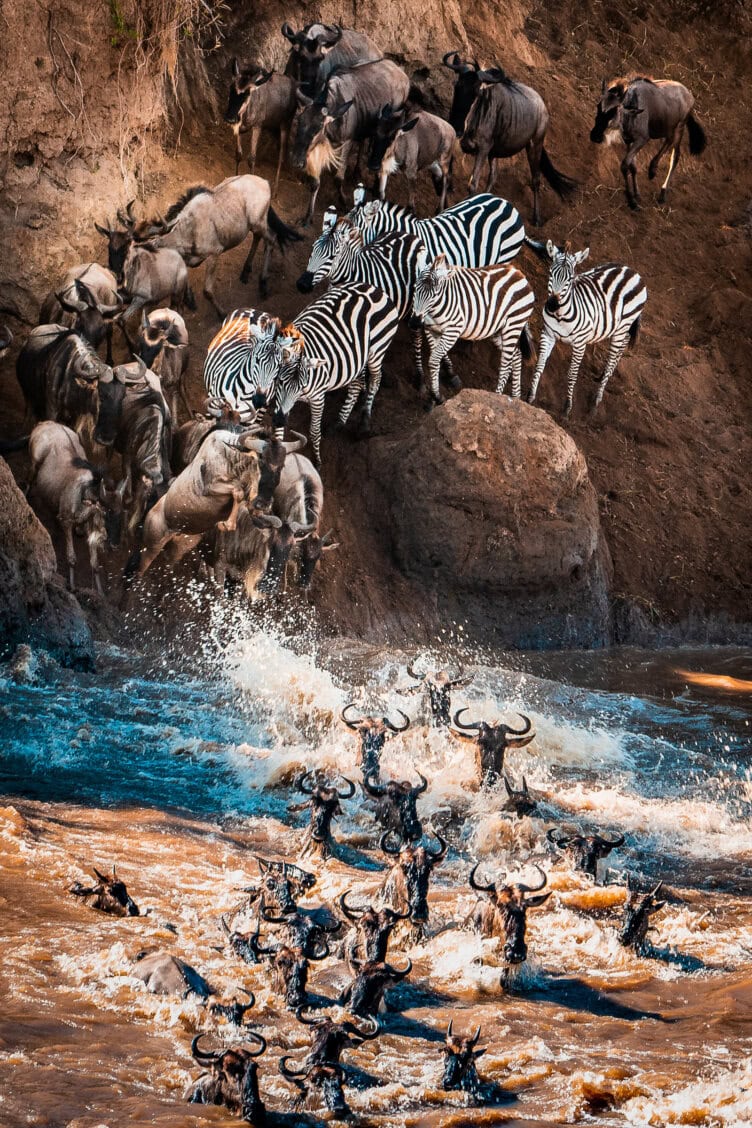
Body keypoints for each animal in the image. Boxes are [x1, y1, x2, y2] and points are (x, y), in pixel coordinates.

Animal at [246, 283, 400, 464]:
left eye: (301, 387)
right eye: (256, 361)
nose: (258, 400)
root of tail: (374, 289)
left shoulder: (317, 398)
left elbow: (313, 431)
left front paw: (317, 461)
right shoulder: (278, 398)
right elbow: (276, 430)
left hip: (377, 350)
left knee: (375, 380)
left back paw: (364, 423)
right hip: (356, 357)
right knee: (356, 384)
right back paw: (338, 424)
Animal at [410, 251, 535, 404]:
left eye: (434, 295)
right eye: (415, 288)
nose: (415, 323)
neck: (435, 308)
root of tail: (520, 274)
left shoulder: (453, 331)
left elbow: (433, 360)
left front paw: (436, 396)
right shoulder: (431, 330)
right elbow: (434, 361)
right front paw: (435, 397)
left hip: (513, 325)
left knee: (506, 365)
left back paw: (496, 396)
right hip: (498, 330)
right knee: (516, 355)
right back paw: (515, 397)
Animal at [527, 241, 647, 417]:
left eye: (570, 279)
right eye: (550, 273)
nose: (552, 305)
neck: (560, 315)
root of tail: (632, 271)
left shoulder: (580, 344)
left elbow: (571, 375)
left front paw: (567, 408)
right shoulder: (548, 334)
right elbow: (540, 363)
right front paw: (530, 396)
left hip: (623, 326)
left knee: (613, 355)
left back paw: (596, 399)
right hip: (620, 327)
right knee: (622, 347)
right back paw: (604, 376)